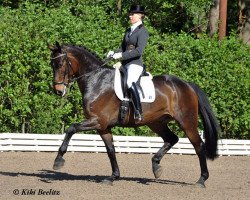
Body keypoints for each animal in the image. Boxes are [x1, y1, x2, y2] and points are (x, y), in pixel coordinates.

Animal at [48, 41, 221, 188]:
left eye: (60, 64)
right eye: (52, 65)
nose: (58, 91)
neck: (96, 80)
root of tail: (187, 85)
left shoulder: (97, 121)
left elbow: (71, 129)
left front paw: (58, 160)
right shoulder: (103, 127)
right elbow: (110, 150)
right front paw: (113, 176)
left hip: (187, 122)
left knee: (198, 146)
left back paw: (201, 180)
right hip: (156, 122)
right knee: (172, 139)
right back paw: (156, 166)